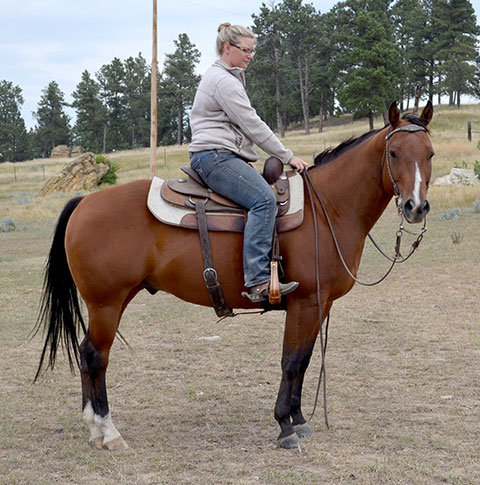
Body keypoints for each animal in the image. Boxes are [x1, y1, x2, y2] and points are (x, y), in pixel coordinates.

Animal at [34, 101, 434, 451]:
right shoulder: (304, 303)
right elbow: (291, 362)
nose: (415, 206)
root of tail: (85, 201)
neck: (328, 209)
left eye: (429, 153)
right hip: (106, 303)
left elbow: (304, 361)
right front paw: (284, 427)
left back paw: (95, 429)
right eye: (394, 152)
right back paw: (107, 431)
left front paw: (300, 420)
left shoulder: (320, 305)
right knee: (94, 356)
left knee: (87, 354)